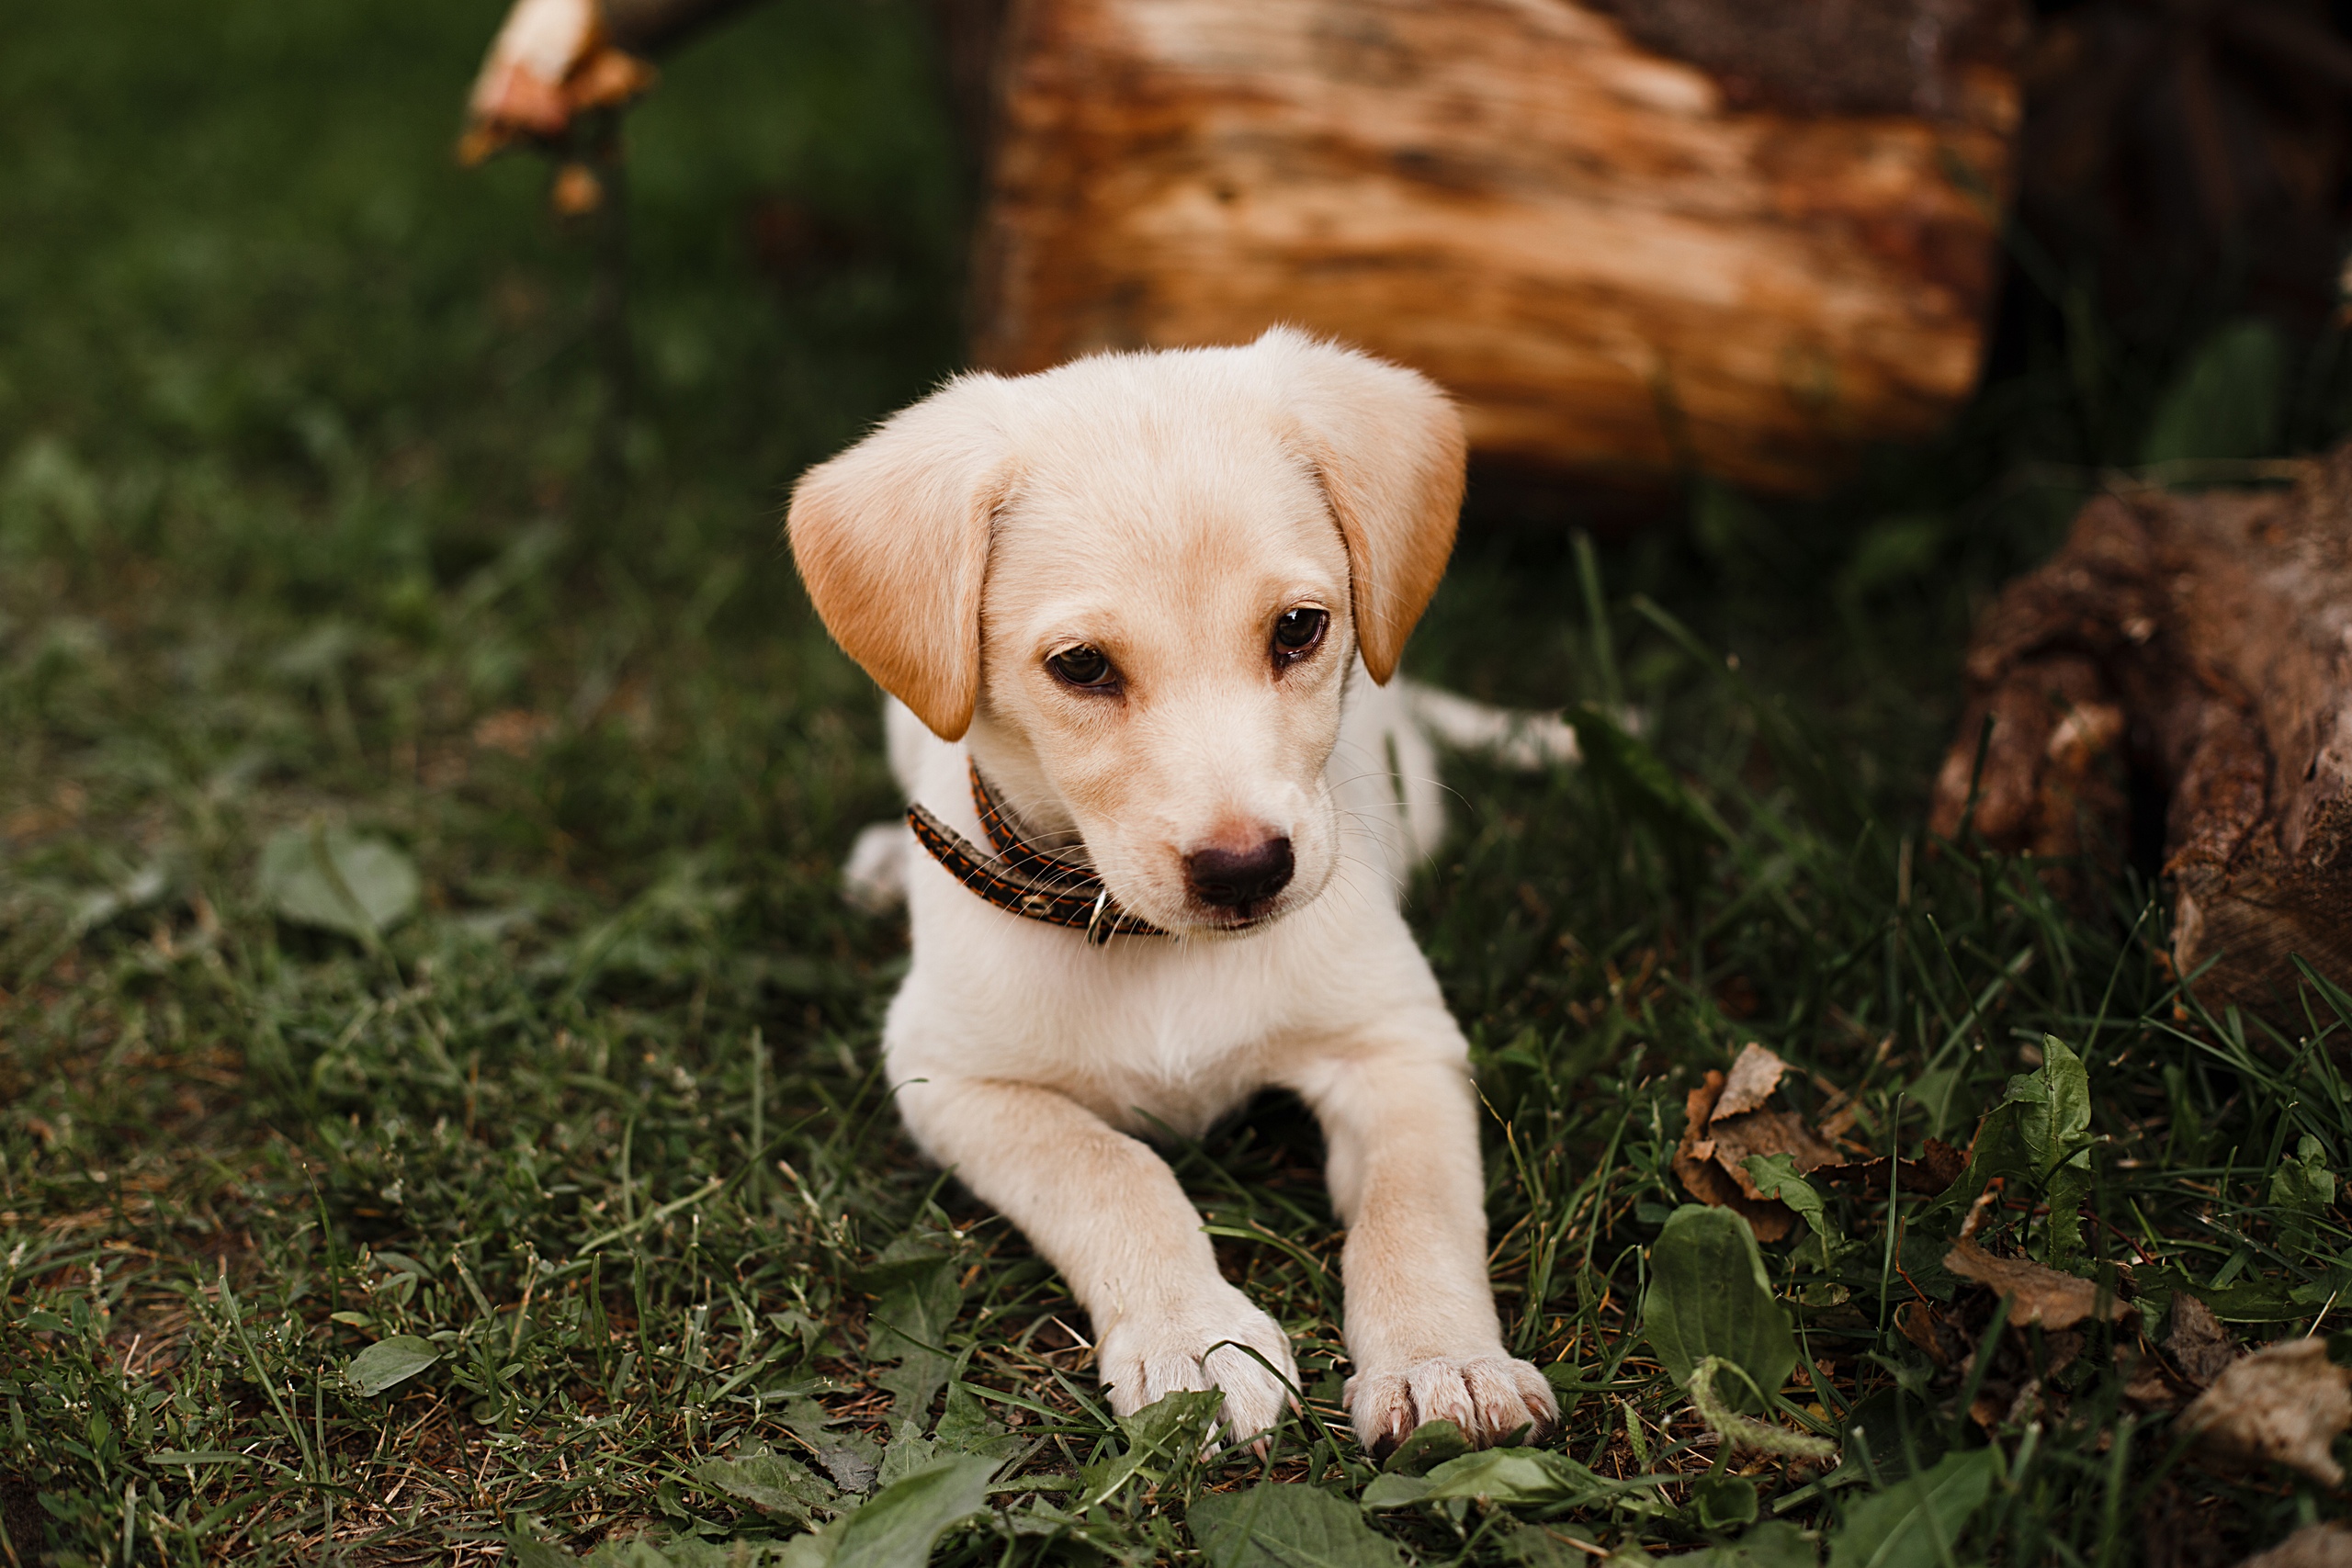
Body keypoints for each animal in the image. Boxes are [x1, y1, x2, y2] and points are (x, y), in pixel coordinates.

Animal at [790, 324, 1561, 1457]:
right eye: (1080, 666)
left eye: (1299, 628)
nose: (1247, 870)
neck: (1158, 948)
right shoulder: (952, 1078)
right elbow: (1112, 1171)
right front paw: (1194, 1339)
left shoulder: (1397, 1042)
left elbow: (1413, 1208)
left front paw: (1440, 1363)